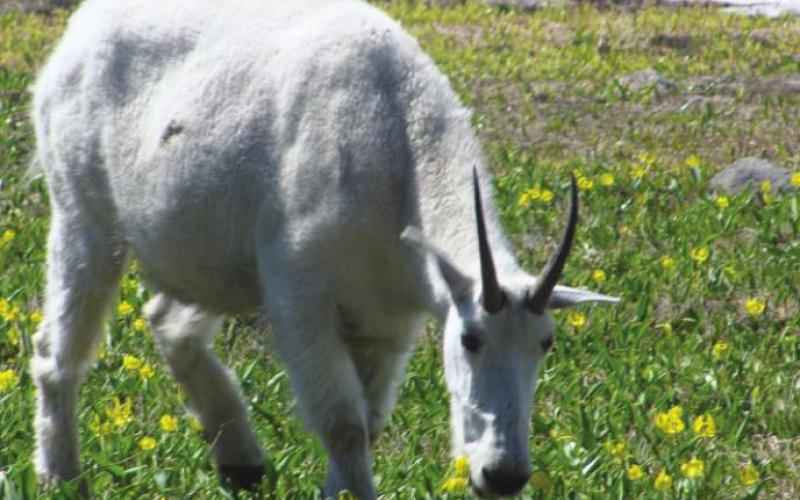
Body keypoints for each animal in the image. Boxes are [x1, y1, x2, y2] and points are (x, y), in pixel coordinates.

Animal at [30, 0, 619, 497]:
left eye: (546, 343)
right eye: (470, 339)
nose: (503, 475)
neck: (398, 152)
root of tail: (76, 34)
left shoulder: (387, 322)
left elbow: (370, 424)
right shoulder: (302, 298)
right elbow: (344, 425)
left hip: (206, 248)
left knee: (169, 322)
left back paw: (242, 462)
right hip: (83, 211)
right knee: (58, 347)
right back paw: (61, 474)